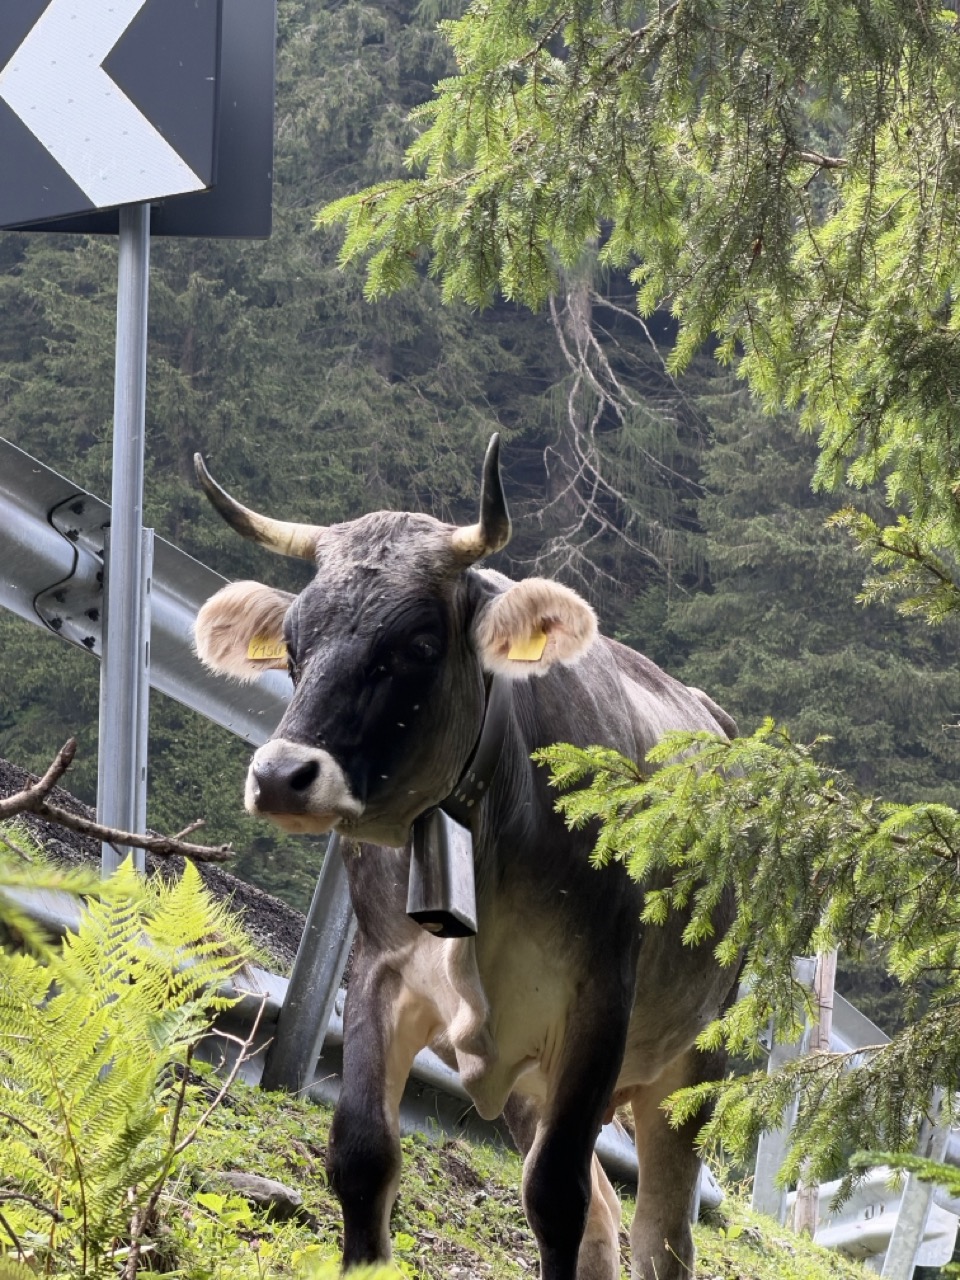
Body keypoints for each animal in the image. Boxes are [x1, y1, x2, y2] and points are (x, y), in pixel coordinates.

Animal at [193, 435, 738, 1280]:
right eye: (291, 642)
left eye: (418, 643)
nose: (282, 776)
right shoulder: (382, 969)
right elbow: (361, 1154)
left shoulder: (596, 1002)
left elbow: (553, 1196)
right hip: (527, 1072)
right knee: (604, 1214)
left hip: (698, 1065)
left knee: (661, 1233)